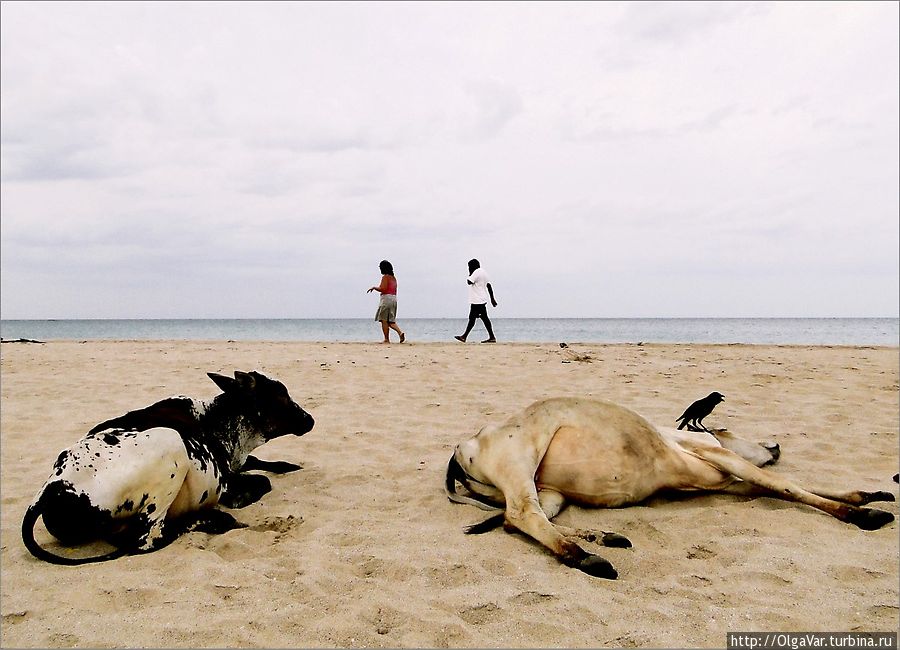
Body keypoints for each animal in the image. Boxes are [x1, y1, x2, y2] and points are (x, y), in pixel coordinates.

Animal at [22, 370, 314, 560]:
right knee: (147, 539)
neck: (215, 420)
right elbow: (262, 481)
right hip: (170, 442)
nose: (309, 419)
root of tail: (54, 486)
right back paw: (211, 519)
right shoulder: (226, 478)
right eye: (280, 394)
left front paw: (287, 465)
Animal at [446, 394, 896, 576]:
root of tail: (461, 446)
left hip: (550, 491)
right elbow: (785, 484)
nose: (776, 444)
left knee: (516, 520)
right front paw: (861, 514)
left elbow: (786, 484)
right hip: (522, 462)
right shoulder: (722, 458)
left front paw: (870, 495)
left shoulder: (729, 483)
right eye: (727, 428)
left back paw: (605, 538)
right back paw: (588, 558)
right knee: (523, 514)